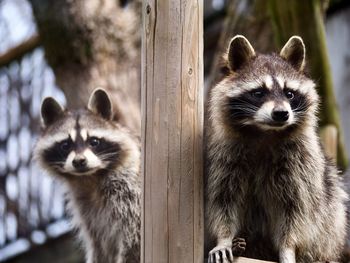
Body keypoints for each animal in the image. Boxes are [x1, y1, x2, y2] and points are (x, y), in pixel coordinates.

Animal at [34, 89, 140, 263]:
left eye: (94, 142)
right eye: (65, 145)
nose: (79, 161)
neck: (90, 179)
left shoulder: (130, 194)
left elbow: (134, 241)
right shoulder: (88, 212)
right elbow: (100, 247)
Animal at [208, 35, 348, 263]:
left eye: (289, 94)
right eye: (258, 93)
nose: (282, 114)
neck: (265, 132)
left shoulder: (302, 165)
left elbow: (296, 212)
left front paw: (287, 248)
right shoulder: (224, 157)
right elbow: (222, 201)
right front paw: (224, 239)